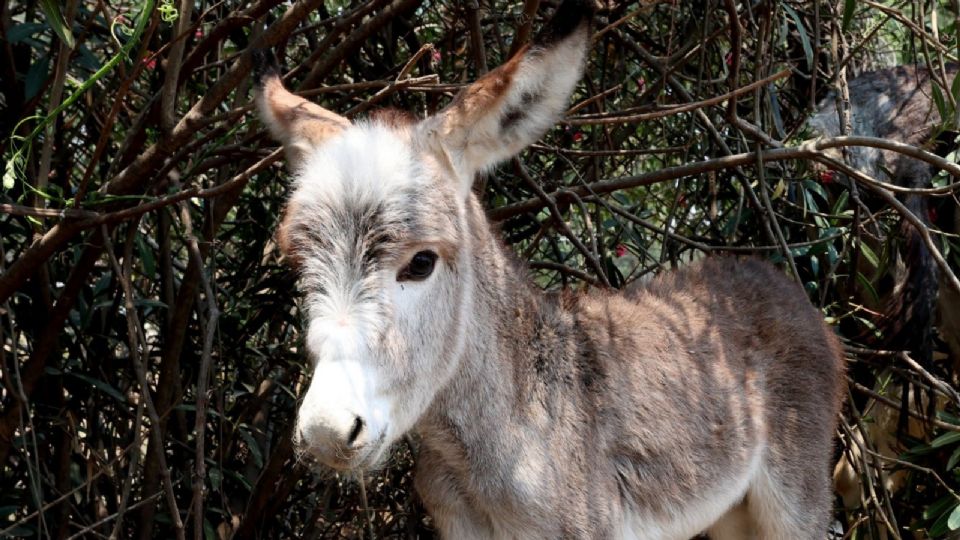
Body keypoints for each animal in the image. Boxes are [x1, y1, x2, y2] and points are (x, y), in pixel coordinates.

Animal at [251, 2, 844, 536]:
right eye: (299, 267)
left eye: (421, 263)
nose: (326, 433)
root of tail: (778, 281)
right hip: (729, 514)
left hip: (795, 502)